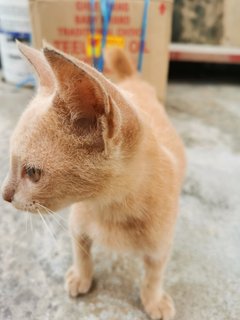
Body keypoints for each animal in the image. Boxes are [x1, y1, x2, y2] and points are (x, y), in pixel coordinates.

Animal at [1, 43, 186, 320]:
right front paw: (81, 276)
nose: (4, 195)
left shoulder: (160, 245)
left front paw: (153, 300)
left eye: (33, 172)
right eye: (10, 161)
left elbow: (154, 274)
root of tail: (133, 80)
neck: (111, 208)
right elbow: (81, 252)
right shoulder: (78, 223)